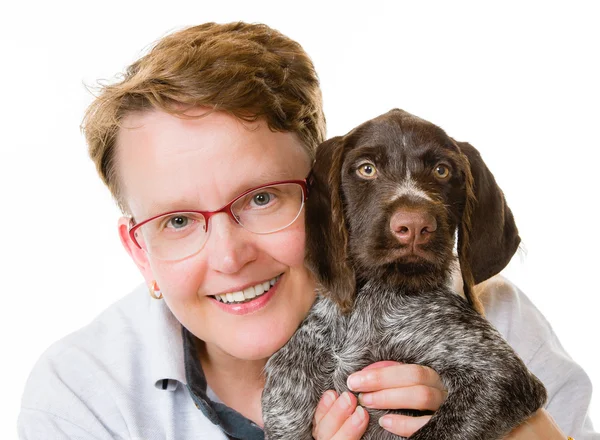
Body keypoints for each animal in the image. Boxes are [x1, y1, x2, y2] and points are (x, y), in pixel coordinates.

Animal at [260, 108, 548, 438]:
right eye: (367, 169)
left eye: (442, 171)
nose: (414, 225)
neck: (363, 306)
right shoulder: (286, 393)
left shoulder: (497, 373)